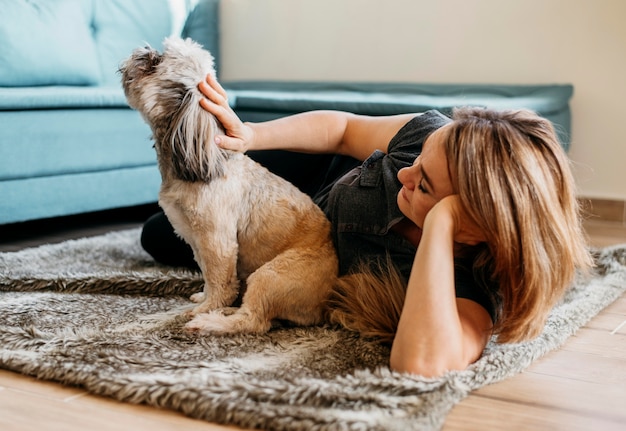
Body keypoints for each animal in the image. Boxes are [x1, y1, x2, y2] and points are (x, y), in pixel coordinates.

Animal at [120, 38, 338, 334]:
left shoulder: (216, 240)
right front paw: (203, 296)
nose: (144, 51)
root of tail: (329, 303)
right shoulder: (196, 239)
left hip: (270, 275)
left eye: (157, 61)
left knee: (253, 320)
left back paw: (210, 321)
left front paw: (206, 307)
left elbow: (220, 281)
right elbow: (206, 273)